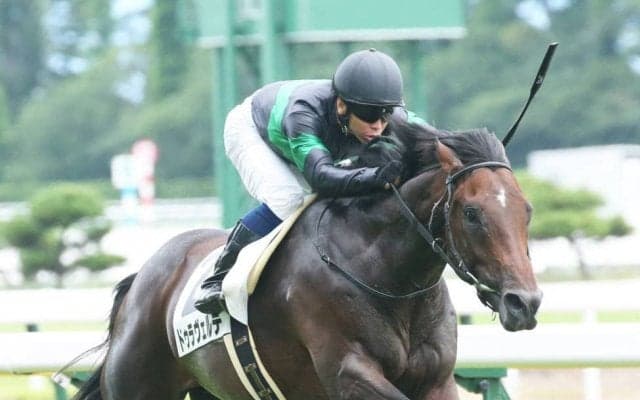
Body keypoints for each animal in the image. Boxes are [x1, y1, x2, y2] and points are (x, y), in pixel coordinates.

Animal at [72, 120, 541, 400]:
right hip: (139, 385)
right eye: (472, 213)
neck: (386, 276)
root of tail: (142, 278)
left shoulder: (438, 378)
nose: (525, 302)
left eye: (527, 210)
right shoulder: (347, 372)